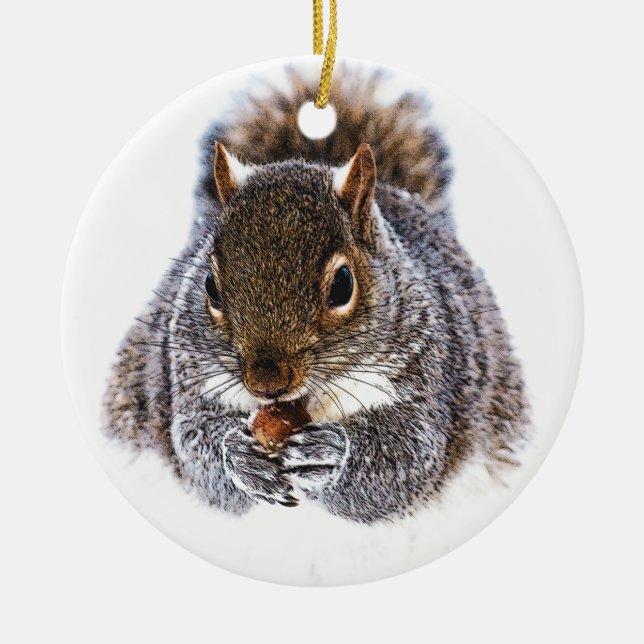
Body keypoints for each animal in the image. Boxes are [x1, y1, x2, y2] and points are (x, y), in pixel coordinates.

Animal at [104, 68, 529, 524]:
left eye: (342, 284)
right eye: (210, 287)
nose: (266, 383)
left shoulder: (427, 378)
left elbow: (406, 457)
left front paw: (330, 454)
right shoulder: (189, 377)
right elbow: (196, 449)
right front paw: (238, 457)